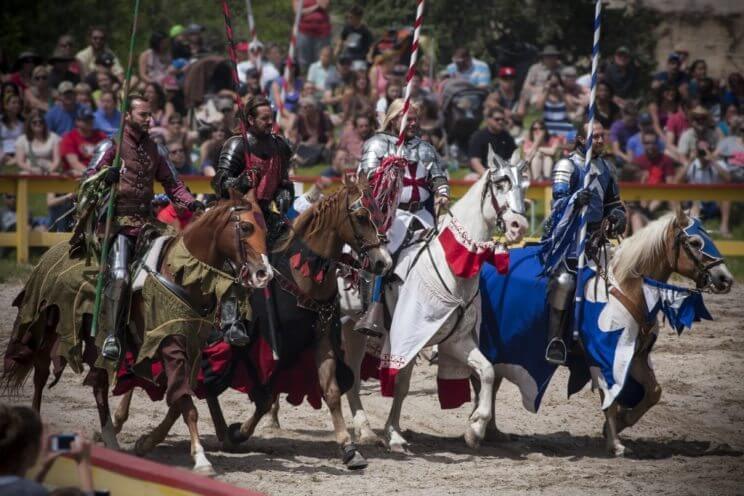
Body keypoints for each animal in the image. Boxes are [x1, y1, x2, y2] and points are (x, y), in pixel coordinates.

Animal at [2, 188, 270, 474]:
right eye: (245, 227)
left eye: (265, 229)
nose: (264, 274)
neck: (180, 273)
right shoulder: (170, 344)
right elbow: (185, 403)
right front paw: (200, 458)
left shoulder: (192, 348)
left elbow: (180, 401)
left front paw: (147, 442)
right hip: (48, 325)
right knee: (40, 375)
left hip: (97, 341)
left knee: (98, 385)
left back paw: (111, 439)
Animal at [201, 174, 392, 468]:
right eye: (361, 216)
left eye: (380, 214)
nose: (385, 262)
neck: (302, 275)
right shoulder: (267, 347)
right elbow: (264, 396)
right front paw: (237, 434)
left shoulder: (320, 339)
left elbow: (330, 391)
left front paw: (349, 448)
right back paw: (221, 432)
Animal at [342, 146, 528, 450]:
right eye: (501, 183)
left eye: (523, 185)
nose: (518, 226)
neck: (450, 262)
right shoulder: (409, 336)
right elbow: (402, 384)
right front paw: (394, 433)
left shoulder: (456, 340)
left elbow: (487, 371)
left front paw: (476, 428)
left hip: (354, 333)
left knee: (353, 379)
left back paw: (365, 430)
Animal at [482, 208, 732, 458]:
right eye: (695, 242)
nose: (725, 279)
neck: (627, 286)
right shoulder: (605, 356)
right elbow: (610, 398)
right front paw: (615, 443)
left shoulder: (636, 356)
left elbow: (654, 392)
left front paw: (621, 422)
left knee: (492, 381)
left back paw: (493, 432)